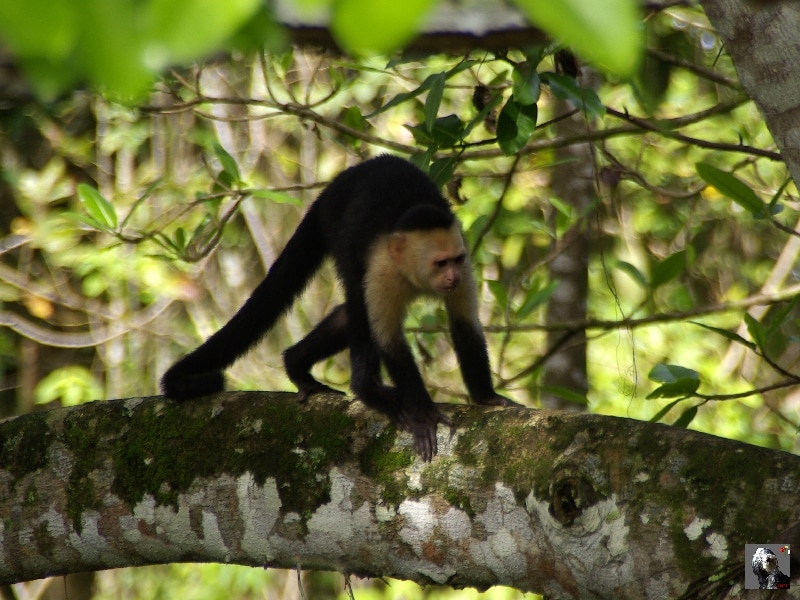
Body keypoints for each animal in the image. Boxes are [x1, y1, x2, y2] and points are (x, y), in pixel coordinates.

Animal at [161, 155, 519, 460]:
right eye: (440, 263)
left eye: (454, 261)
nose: (451, 276)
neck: (414, 275)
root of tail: (335, 185)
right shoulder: (383, 270)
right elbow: (387, 338)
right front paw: (422, 412)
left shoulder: (465, 268)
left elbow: (465, 325)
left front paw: (486, 397)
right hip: (339, 229)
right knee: (359, 309)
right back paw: (367, 389)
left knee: (348, 314)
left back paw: (296, 364)